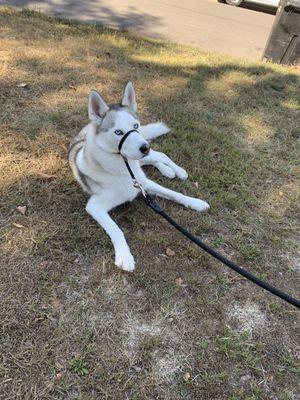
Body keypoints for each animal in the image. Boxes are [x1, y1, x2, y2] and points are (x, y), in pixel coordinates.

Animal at [68, 81, 209, 270]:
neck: (124, 170)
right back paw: (168, 170)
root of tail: (86, 128)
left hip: (147, 157)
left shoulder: (144, 184)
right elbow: (116, 229)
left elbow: (174, 193)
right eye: (118, 132)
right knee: (153, 160)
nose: (145, 147)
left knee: (160, 155)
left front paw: (195, 202)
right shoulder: (95, 206)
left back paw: (177, 171)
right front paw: (124, 256)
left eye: (135, 126)